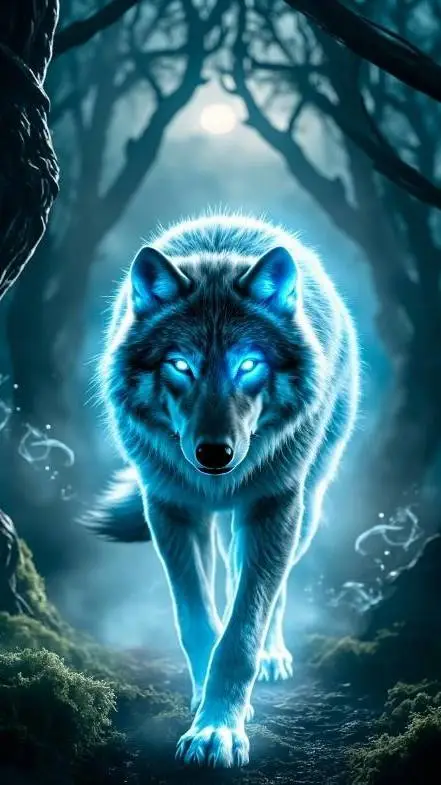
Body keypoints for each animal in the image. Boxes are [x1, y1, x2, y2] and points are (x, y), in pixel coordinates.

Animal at [90, 212, 359, 768]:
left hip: (302, 512)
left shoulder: (272, 507)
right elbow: (197, 620)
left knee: (270, 586)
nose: (215, 454)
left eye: (248, 365)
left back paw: (273, 656)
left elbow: (242, 632)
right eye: (181, 365)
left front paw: (219, 731)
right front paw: (203, 709)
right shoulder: (170, 509)